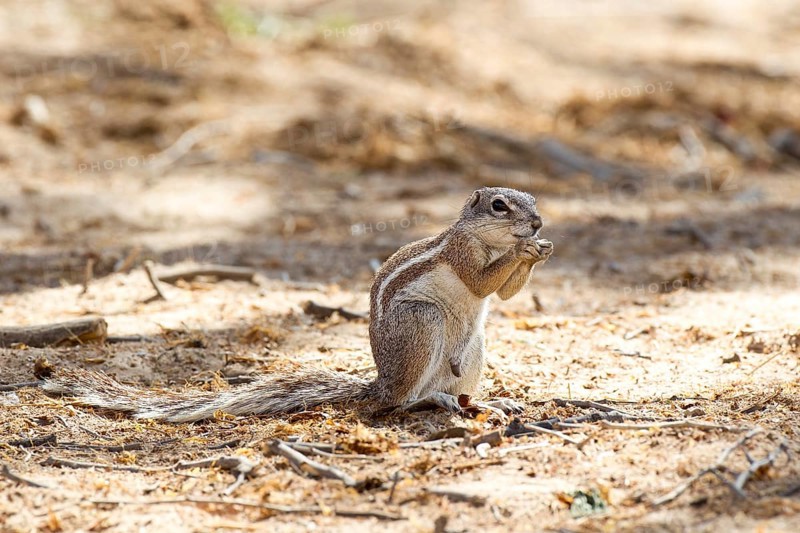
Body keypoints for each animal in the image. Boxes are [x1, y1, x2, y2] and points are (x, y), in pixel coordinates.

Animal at [42, 187, 553, 422]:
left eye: (531, 200)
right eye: (500, 206)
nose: (538, 223)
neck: (485, 239)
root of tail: (380, 382)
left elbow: (502, 293)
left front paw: (539, 250)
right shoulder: (462, 254)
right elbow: (480, 282)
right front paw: (525, 250)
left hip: (474, 348)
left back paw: (485, 403)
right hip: (421, 323)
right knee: (402, 402)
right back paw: (436, 401)